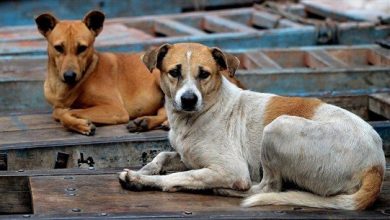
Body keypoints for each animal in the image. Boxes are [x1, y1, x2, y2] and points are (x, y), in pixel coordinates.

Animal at [35, 10, 242, 136]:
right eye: (58, 48)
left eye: (82, 48)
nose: (69, 76)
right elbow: (60, 111)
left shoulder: (115, 109)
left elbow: (64, 112)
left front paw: (80, 123)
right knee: (163, 110)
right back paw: (146, 122)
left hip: (158, 76)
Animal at [119, 42, 386, 210]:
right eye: (174, 72)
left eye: (204, 74)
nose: (188, 99)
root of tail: (377, 165)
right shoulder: (187, 156)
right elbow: (163, 156)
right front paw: (147, 169)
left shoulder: (231, 169)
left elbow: (179, 176)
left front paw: (140, 179)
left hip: (278, 128)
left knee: (268, 188)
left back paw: (224, 190)